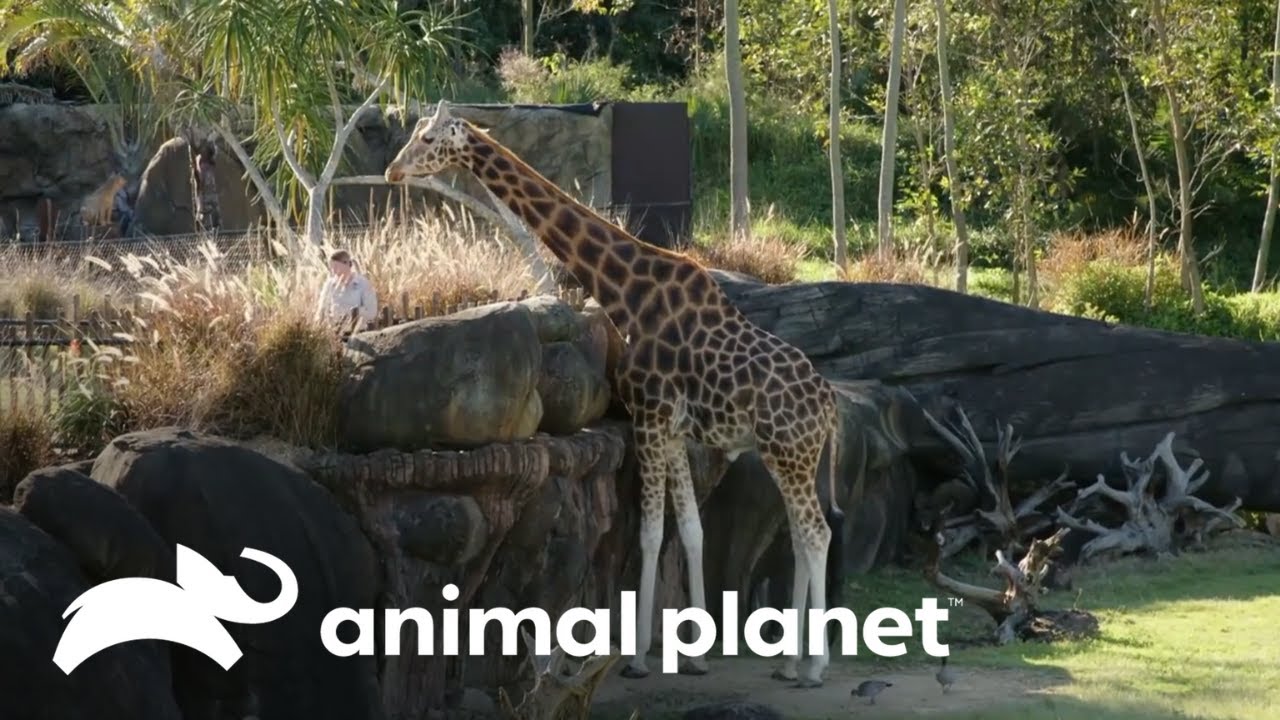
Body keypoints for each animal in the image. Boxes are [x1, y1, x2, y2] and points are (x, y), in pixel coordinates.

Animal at [385, 101, 847, 687]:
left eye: (427, 137)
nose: (392, 170)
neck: (625, 293)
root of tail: (830, 407)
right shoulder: (670, 427)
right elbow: (689, 530)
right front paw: (693, 654)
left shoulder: (649, 414)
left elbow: (649, 533)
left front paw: (638, 658)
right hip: (788, 456)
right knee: (802, 534)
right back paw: (791, 662)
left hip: (789, 452)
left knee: (816, 534)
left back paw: (813, 666)